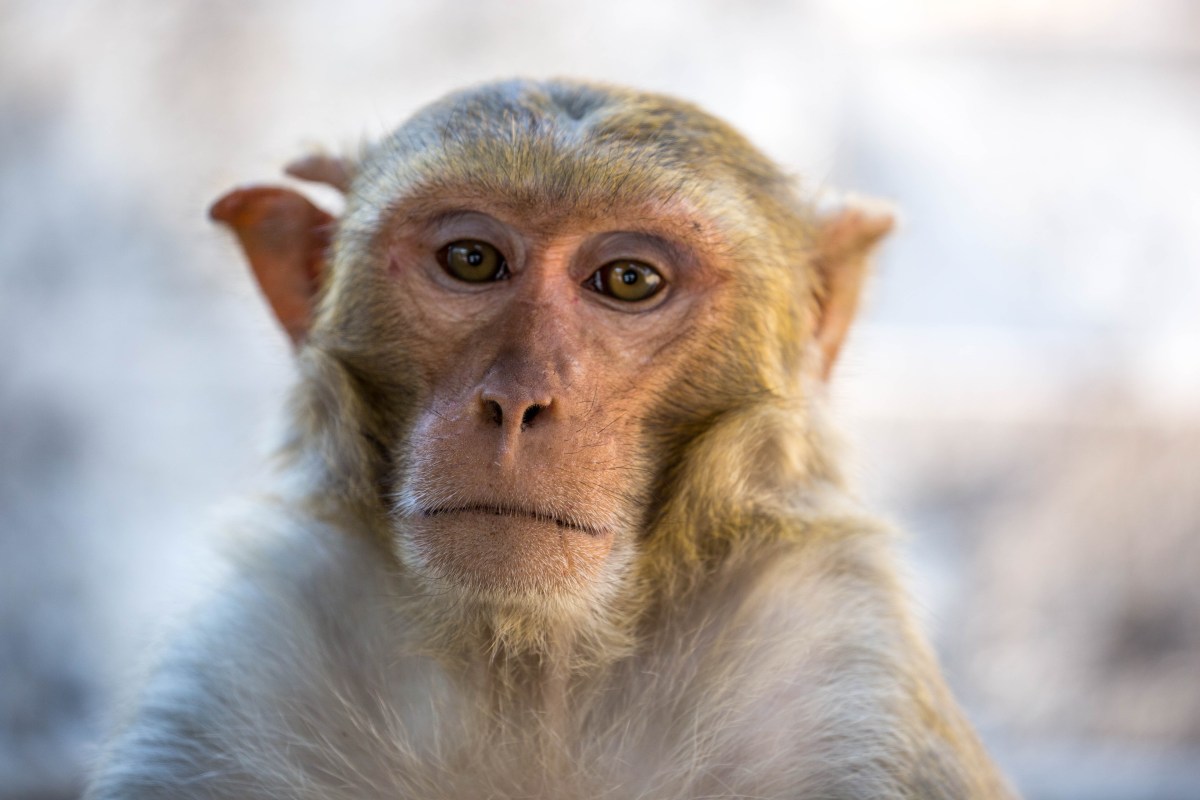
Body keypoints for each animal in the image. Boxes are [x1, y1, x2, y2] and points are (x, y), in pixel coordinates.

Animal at [86, 79, 1018, 799]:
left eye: (629, 280)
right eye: (470, 260)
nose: (517, 401)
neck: (525, 673)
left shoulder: (839, 671)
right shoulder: (238, 662)